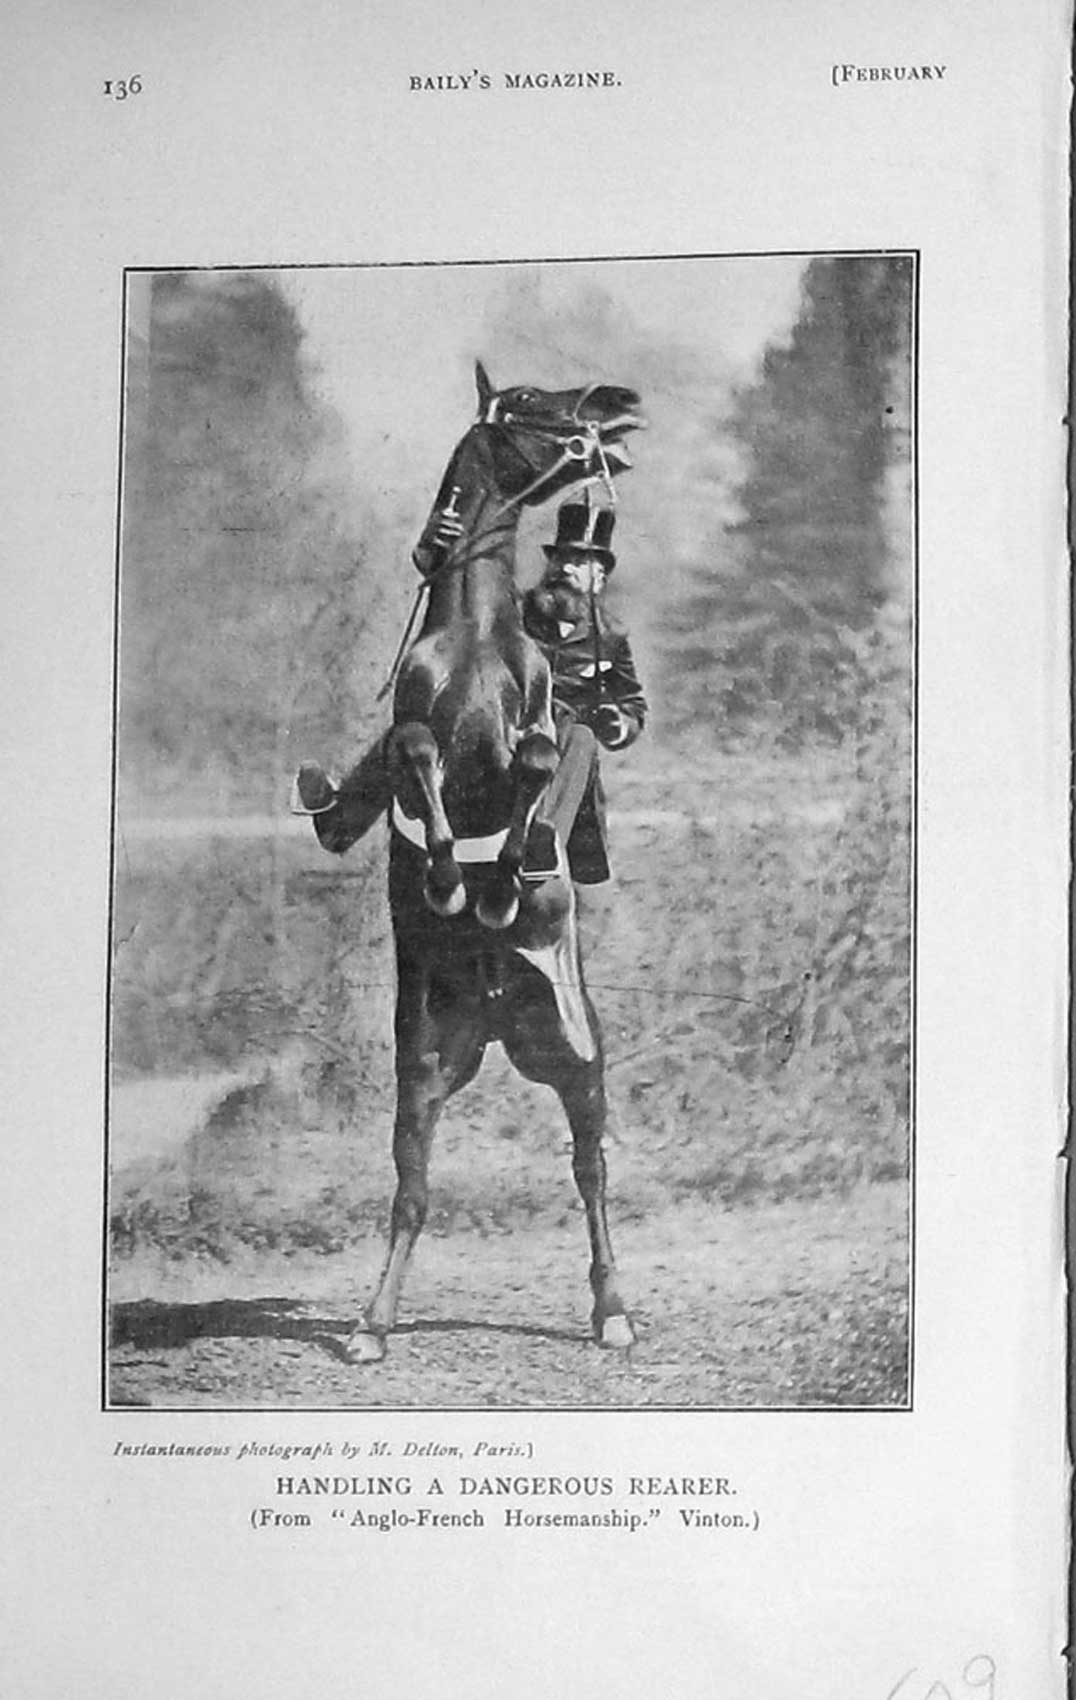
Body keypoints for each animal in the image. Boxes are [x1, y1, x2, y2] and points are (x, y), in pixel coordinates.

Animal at [345, 362, 644, 1364]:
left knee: (591, 1171)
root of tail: (494, 1015)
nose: (619, 406)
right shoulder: (418, 730)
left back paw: (613, 1312)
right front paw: (445, 874)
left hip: (579, 1060)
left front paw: (508, 878)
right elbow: (417, 756)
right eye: (530, 404)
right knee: (412, 1189)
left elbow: (546, 760)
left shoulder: (538, 726)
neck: (478, 633)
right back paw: (372, 1324)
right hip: (425, 1069)